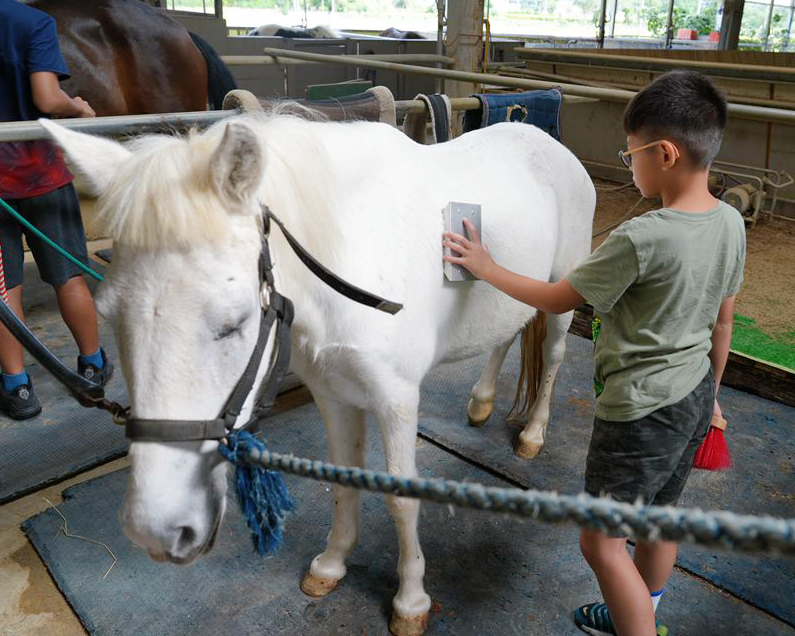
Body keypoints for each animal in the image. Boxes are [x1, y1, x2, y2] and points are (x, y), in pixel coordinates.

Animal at [41, 112, 594, 636]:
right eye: (108, 314)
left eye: (234, 322)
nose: (155, 530)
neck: (348, 257)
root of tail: (548, 142)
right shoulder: (334, 394)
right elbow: (344, 481)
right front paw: (331, 566)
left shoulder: (397, 399)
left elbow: (402, 499)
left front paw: (410, 601)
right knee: (506, 335)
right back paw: (481, 403)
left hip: (563, 296)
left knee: (553, 357)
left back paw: (532, 435)